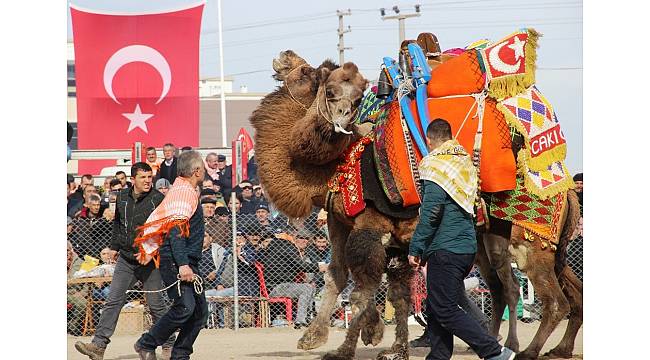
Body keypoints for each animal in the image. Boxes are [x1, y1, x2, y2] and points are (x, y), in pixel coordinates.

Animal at [251, 50, 580, 360]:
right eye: (328, 89)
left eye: (307, 71)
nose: (283, 56)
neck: (338, 165)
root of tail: (566, 191)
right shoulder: (344, 224)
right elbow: (346, 278)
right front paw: (320, 339)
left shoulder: (373, 224)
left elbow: (364, 287)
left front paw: (357, 341)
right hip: (511, 244)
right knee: (526, 290)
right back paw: (546, 347)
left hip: (531, 245)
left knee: (552, 300)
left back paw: (525, 349)